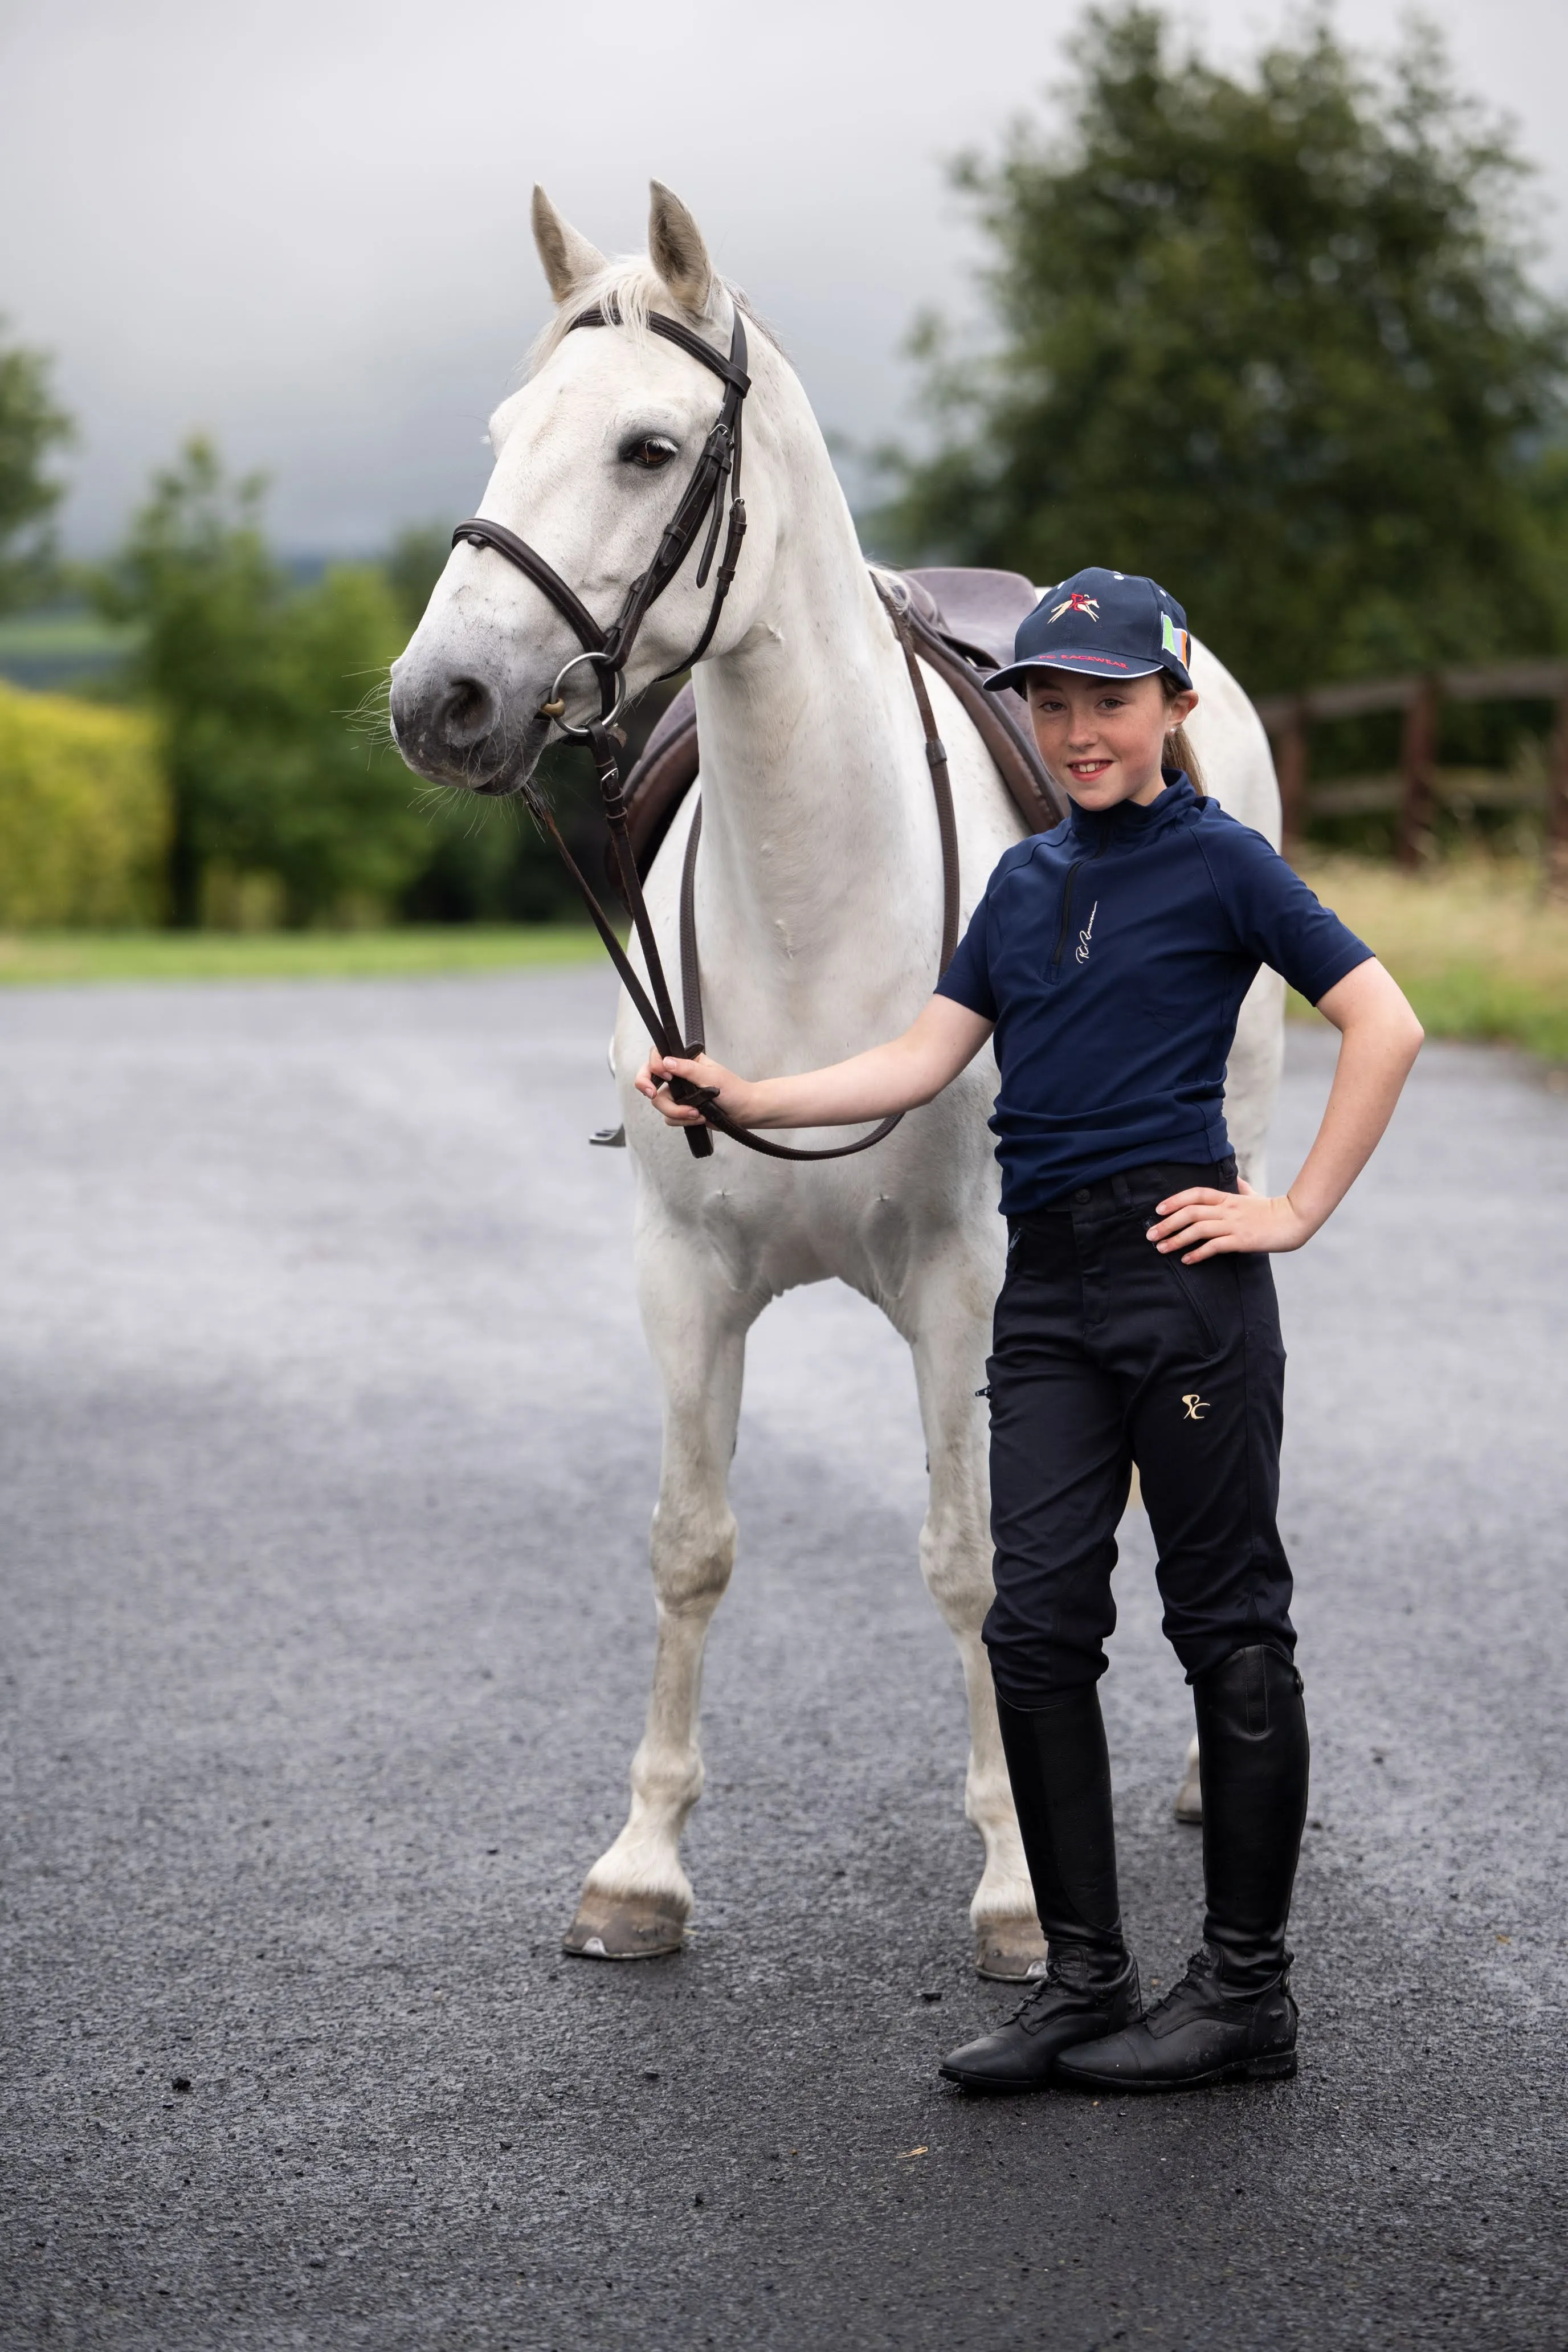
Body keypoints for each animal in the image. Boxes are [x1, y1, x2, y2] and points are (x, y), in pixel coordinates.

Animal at [385, 188, 1279, 1985]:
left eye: (650, 448)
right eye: (510, 434)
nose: (440, 703)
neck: (815, 887)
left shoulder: (968, 1286)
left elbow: (976, 1564)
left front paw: (1019, 1888)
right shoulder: (682, 1275)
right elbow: (691, 1543)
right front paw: (643, 1869)